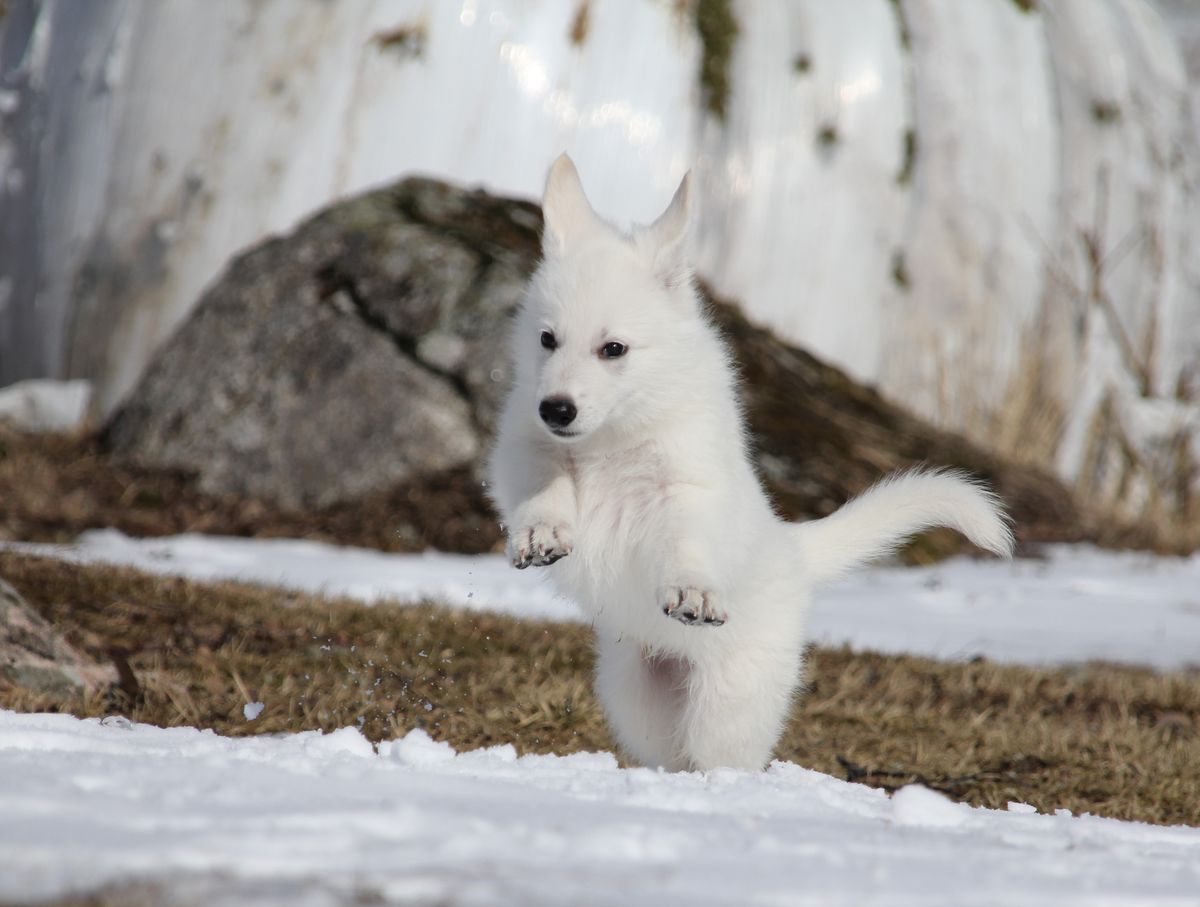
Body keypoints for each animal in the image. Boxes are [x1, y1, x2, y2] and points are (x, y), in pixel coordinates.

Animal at [487, 155, 1012, 772]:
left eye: (613, 349)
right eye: (547, 339)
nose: (556, 408)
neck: (611, 437)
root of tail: (794, 550)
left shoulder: (687, 484)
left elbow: (685, 541)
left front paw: (692, 591)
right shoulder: (523, 446)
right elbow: (543, 483)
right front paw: (542, 533)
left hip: (729, 702)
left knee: (724, 755)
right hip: (637, 696)